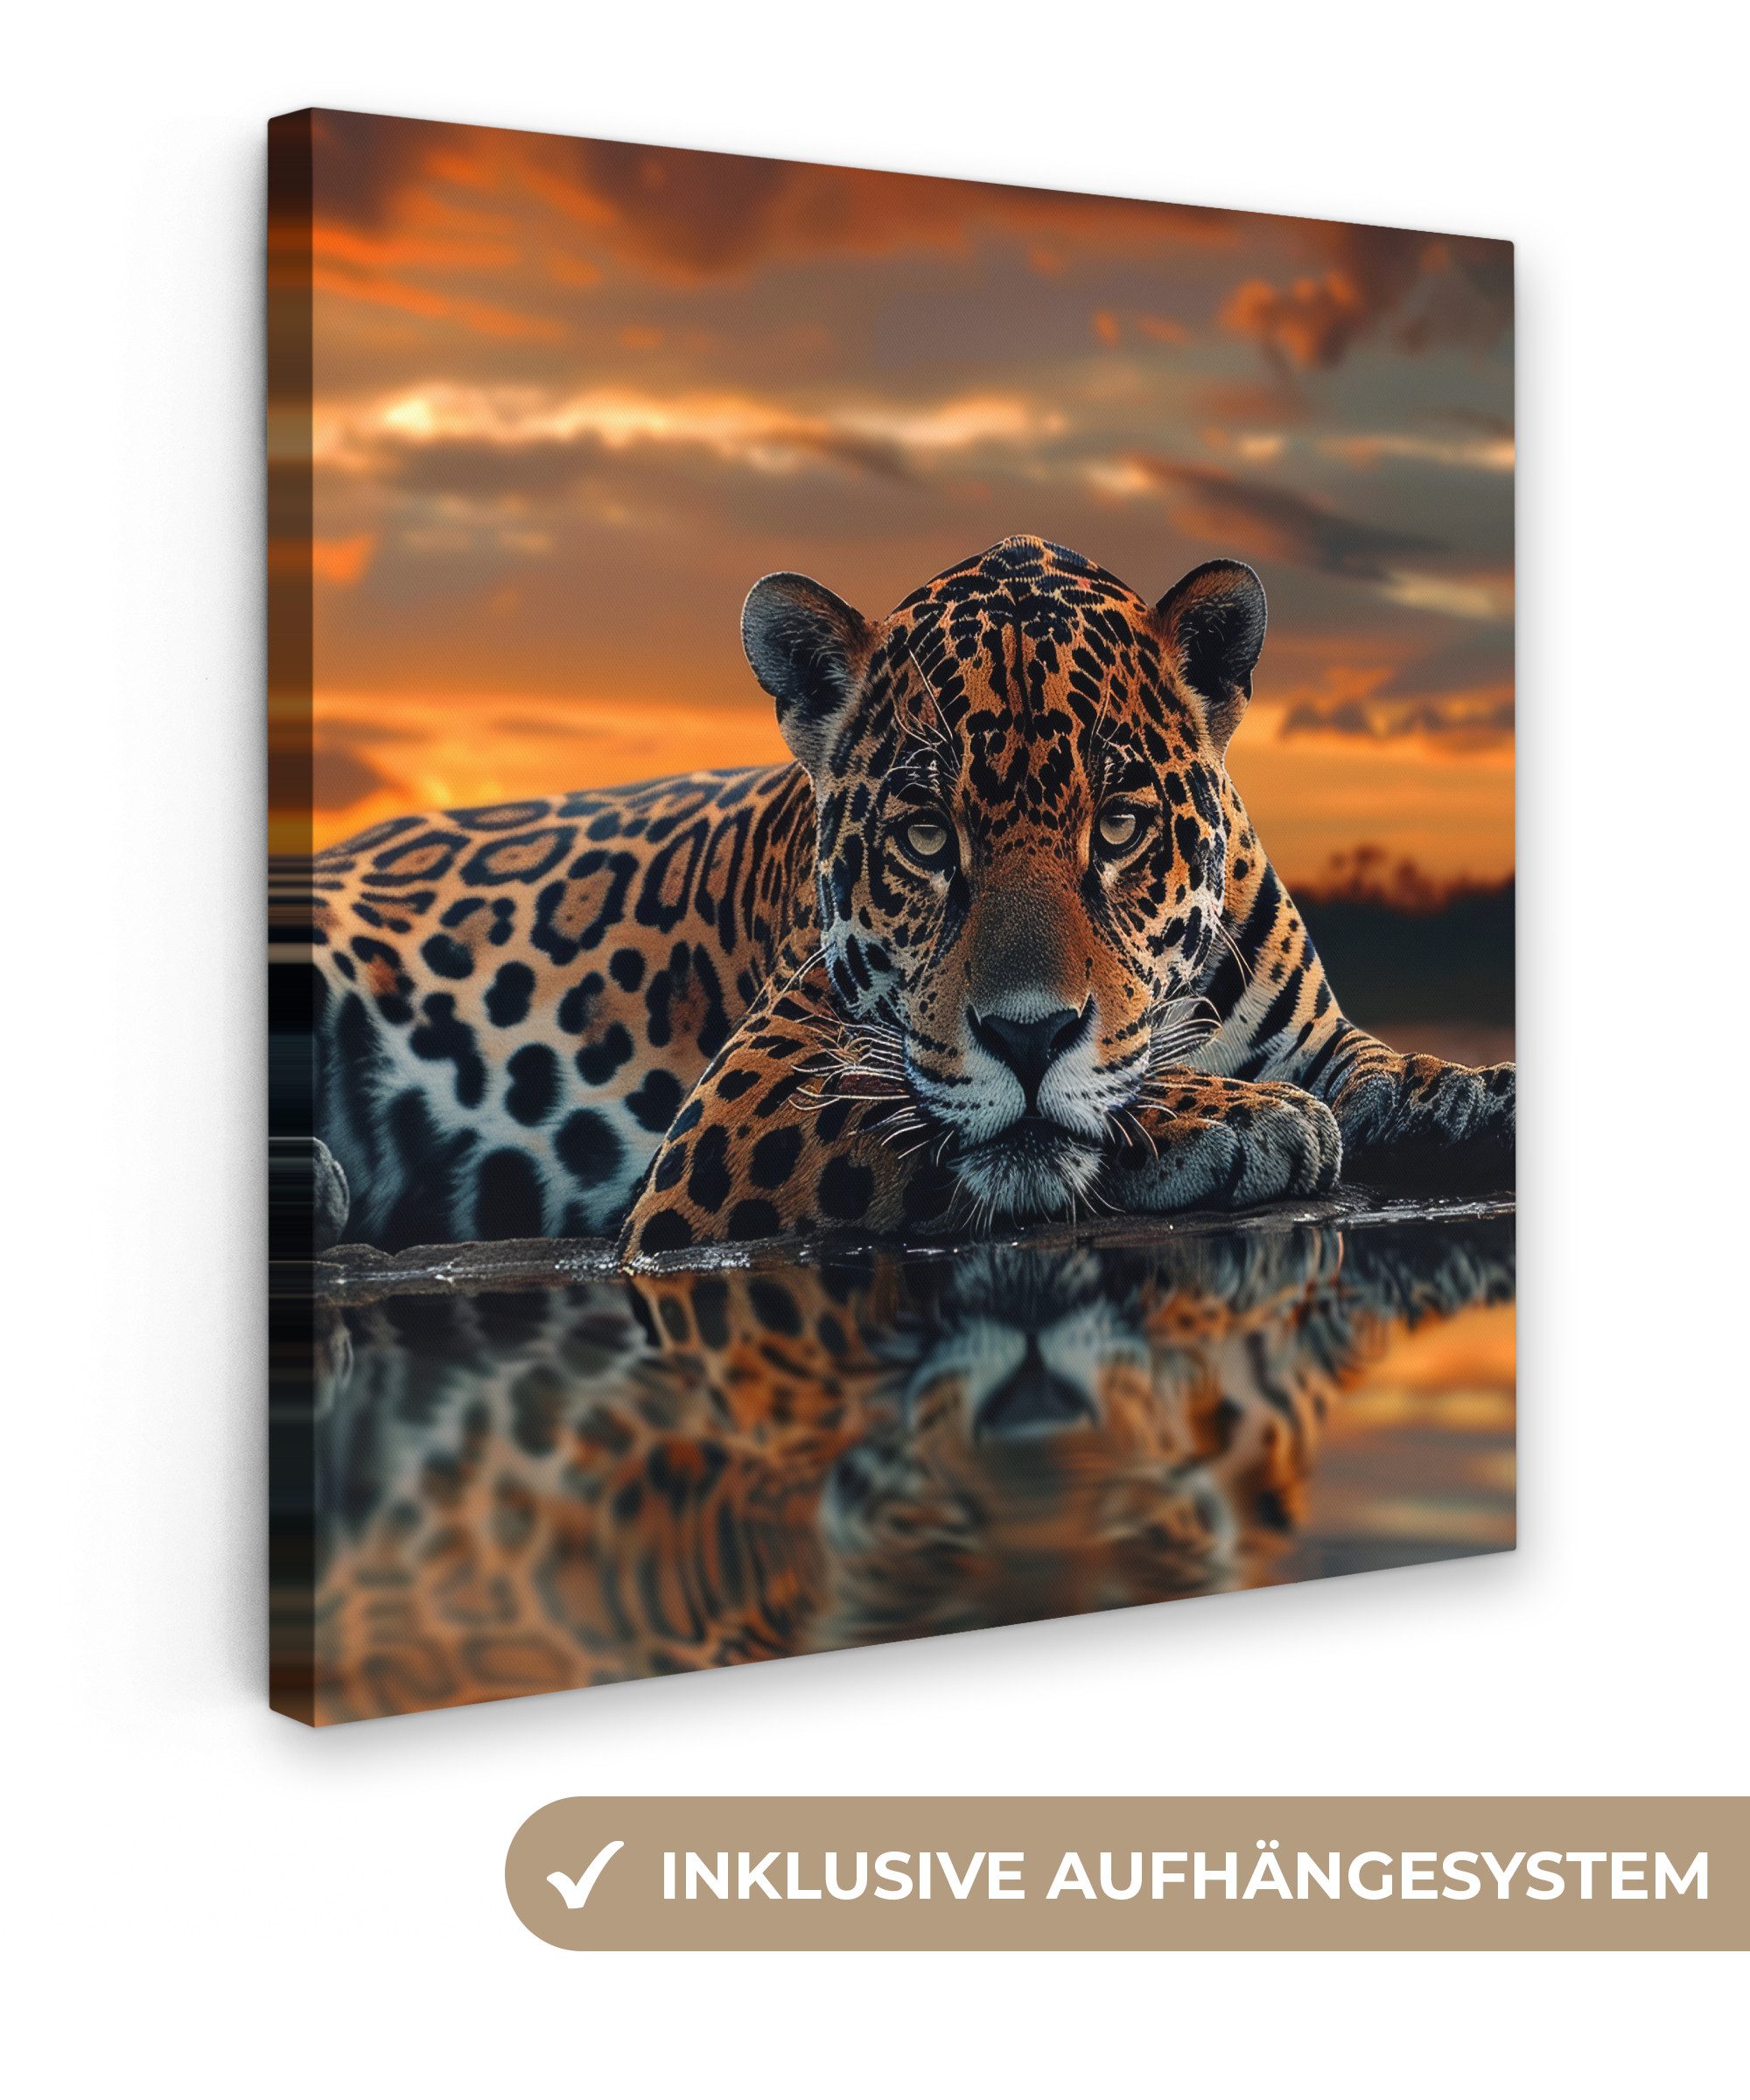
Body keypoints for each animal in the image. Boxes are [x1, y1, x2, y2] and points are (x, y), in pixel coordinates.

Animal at [279, 535, 1514, 1261]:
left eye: (1116, 828)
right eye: (926, 837)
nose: (1029, 1035)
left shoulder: (1320, 1037)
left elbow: (1388, 1068)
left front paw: (1474, 1093)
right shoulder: (745, 1104)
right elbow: (957, 1119)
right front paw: (1242, 1119)